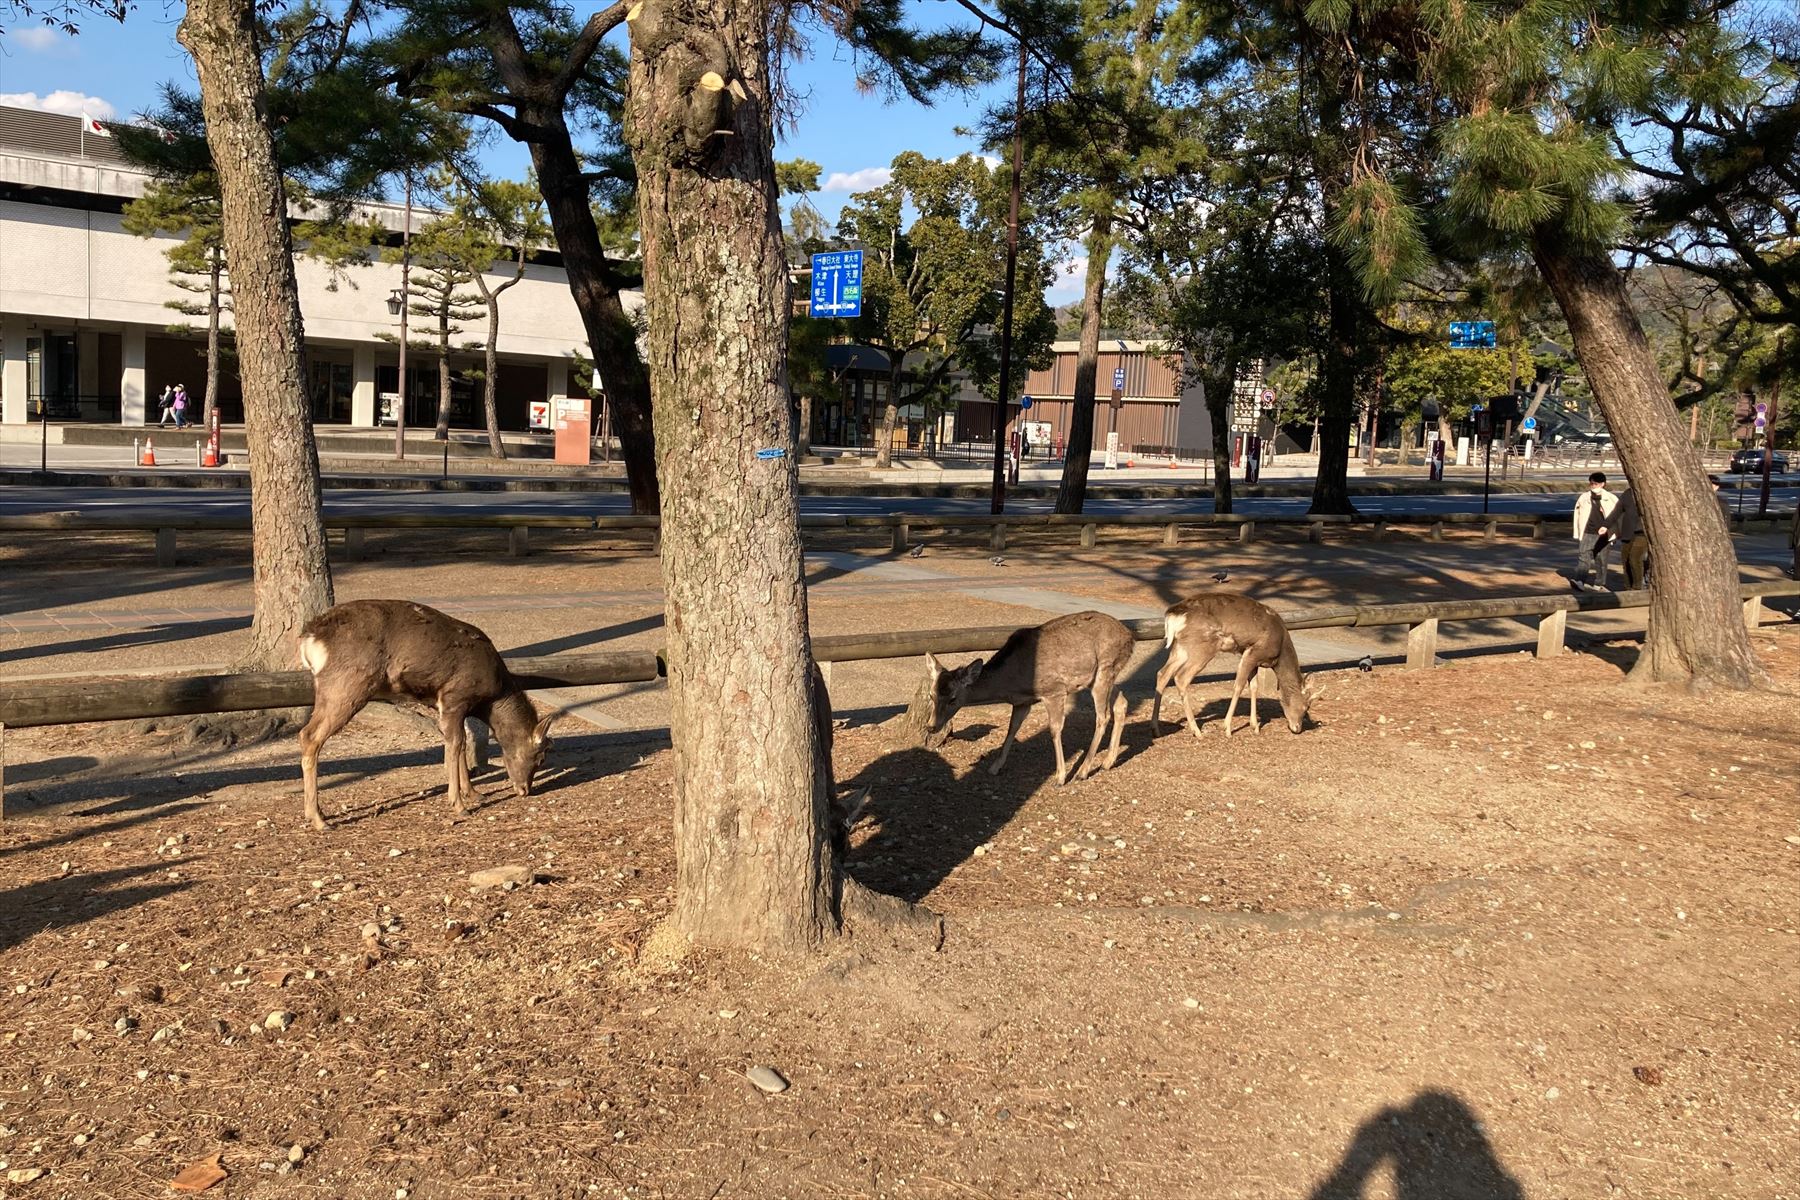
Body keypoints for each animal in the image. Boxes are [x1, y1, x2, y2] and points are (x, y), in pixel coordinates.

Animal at [295, 600, 554, 834]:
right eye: (540, 758)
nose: (525, 790)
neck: (491, 698)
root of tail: (309, 638)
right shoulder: (455, 696)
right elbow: (455, 744)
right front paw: (459, 805)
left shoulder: (445, 705)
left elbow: (459, 744)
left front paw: (474, 794)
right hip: (346, 686)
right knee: (310, 735)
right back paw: (319, 819)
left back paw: (317, 813)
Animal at [907, 611, 1130, 788]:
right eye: (932, 695)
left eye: (953, 699)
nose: (931, 726)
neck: (1014, 681)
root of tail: (1130, 636)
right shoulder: (1022, 702)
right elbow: (1012, 728)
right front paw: (995, 766)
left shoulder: (1054, 691)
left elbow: (1054, 730)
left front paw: (1060, 777)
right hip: (1103, 676)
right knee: (1121, 703)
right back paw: (1108, 762)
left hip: (1105, 669)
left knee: (1103, 716)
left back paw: (1083, 771)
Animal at [1152, 593, 1310, 737]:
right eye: (1306, 707)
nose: (1297, 728)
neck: (1279, 651)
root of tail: (1172, 615)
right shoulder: (1254, 652)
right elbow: (1238, 686)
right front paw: (1227, 728)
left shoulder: (1250, 655)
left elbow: (1254, 686)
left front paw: (1255, 726)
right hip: (1202, 645)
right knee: (1181, 677)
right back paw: (1196, 731)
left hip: (1180, 647)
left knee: (1162, 673)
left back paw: (1156, 729)